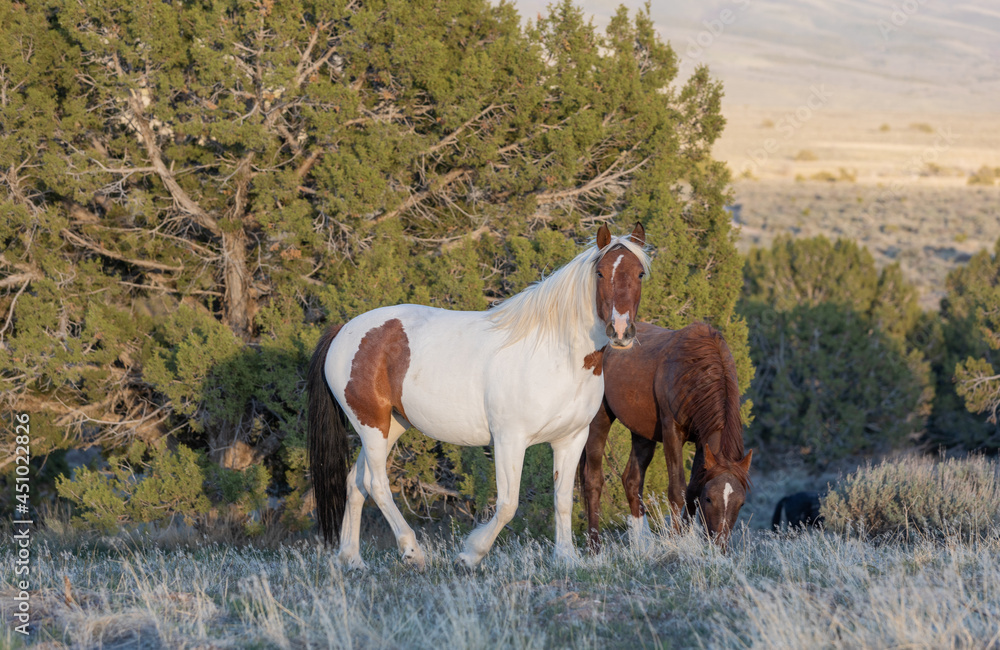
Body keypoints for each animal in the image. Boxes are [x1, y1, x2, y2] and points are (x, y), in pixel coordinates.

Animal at [308, 224, 650, 569]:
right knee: (376, 484)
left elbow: (563, 500)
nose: (621, 332)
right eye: (600, 272)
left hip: (391, 426)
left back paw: (351, 558)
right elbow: (508, 504)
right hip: (371, 425)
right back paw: (412, 551)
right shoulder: (510, 439)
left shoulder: (571, 439)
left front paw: (566, 558)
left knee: (355, 482)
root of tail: (343, 330)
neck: (555, 354)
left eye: (640, 274)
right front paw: (470, 553)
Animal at [580, 321, 752, 552]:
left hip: (641, 432)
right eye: (709, 499)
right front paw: (675, 541)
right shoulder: (672, 431)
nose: (719, 546)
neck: (697, 371)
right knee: (593, 480)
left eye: (740, 503)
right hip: (599, 419)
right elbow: (678, 490)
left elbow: (692, 490)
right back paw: (595, 547)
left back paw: (643, 545)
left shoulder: (701, 441)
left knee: (632, 480)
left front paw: (685, 539)